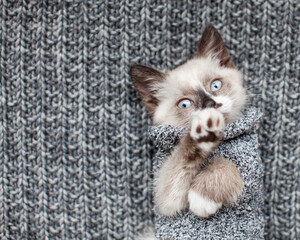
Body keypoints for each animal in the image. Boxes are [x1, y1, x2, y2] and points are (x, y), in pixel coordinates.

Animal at [131, 25, 246, 238]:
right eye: (185, 104)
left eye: (215, 85)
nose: (210, 104)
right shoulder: (165, 198)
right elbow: (185, 154)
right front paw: (205, 128)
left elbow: (225, 162)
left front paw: (202, 198)